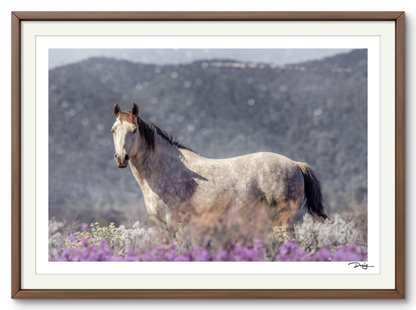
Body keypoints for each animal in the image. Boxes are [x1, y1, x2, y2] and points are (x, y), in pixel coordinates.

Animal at [111, 103, 328, 234]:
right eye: (114, 130)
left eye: (134, 130)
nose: (121, 158)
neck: (165, 169)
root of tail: (296, 165)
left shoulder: (174, 222)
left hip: (283, 219)